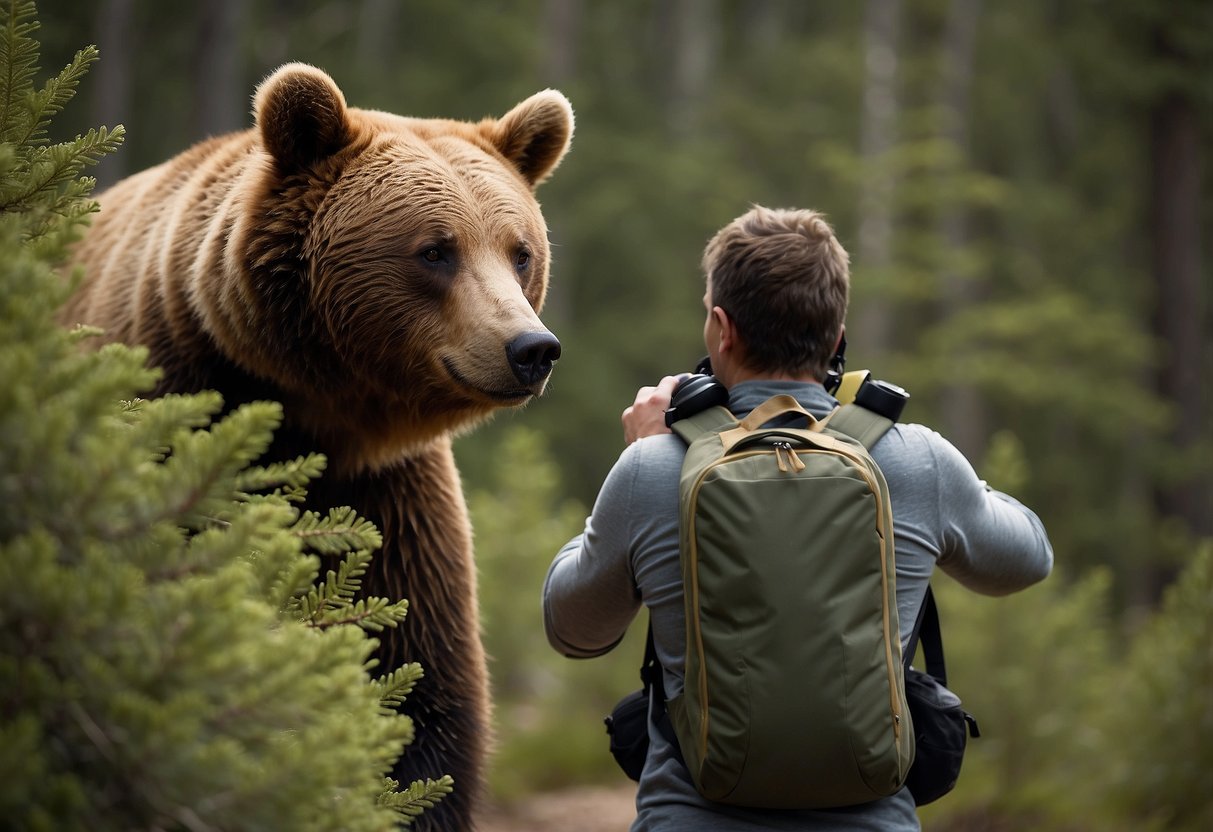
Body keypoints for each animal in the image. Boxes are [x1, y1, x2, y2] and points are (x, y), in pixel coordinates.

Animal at [63, 65, 574, 832]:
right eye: (435, 249)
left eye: (520, 252)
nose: (531, 348)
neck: (314, 413)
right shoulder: (174, 431)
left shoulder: (388, 501)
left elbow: (418, 687)